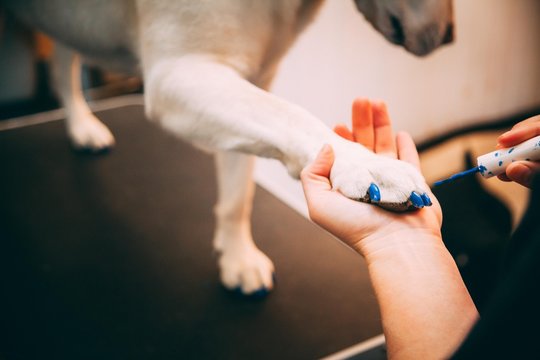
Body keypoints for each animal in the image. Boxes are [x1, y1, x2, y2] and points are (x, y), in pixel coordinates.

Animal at [2, 0, 454, 296]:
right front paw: (366, 163)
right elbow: (290, 115)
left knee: (62, 65)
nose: (451, 36)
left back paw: (81, 126)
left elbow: (239, 193)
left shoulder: (248, 76)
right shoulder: (179, 75)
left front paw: (237, 257)